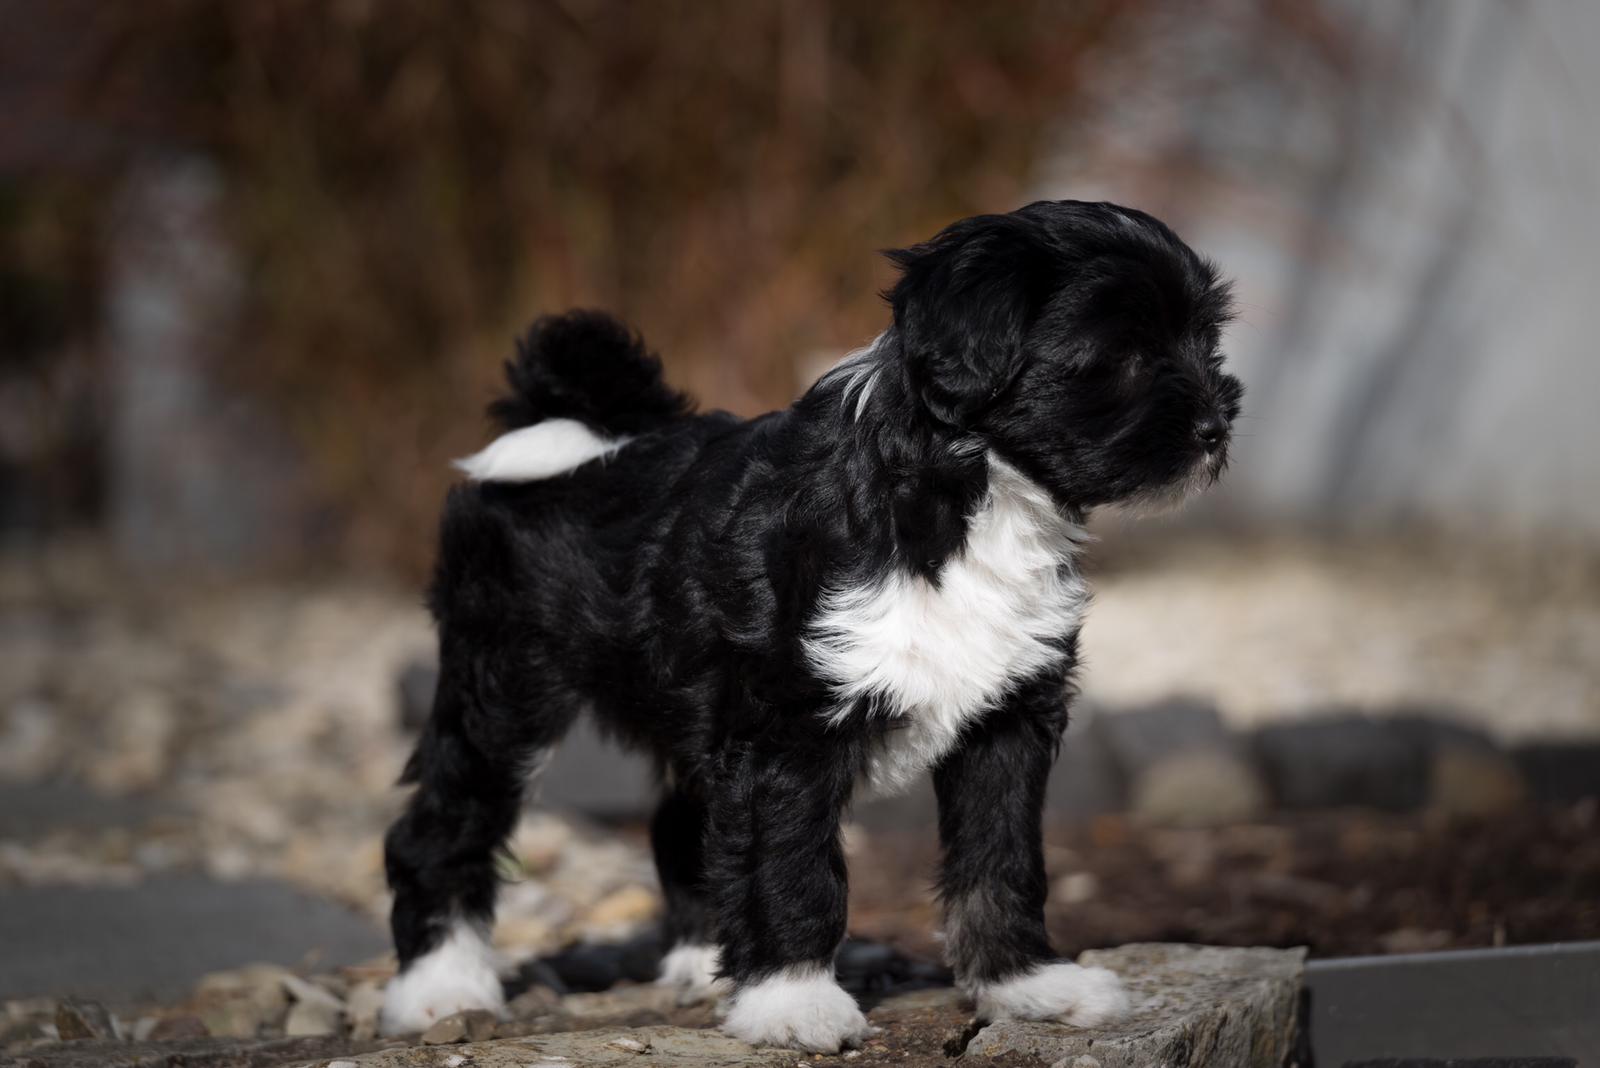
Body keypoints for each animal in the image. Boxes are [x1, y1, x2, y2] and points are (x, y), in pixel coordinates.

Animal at [380, 200, 1241, 1051]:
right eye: (1122, 354)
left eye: (1205, 340)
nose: (1215, 427)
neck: (968, 495)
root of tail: (585, 427)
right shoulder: (787, 728)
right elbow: (790, 864)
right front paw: (793, 1001)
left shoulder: (1007, 717)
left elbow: (1000, 859)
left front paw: (1026, 984)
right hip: (505, 686)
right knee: (446, 823)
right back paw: (439, 988)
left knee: (682, 826)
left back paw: (703, 964)